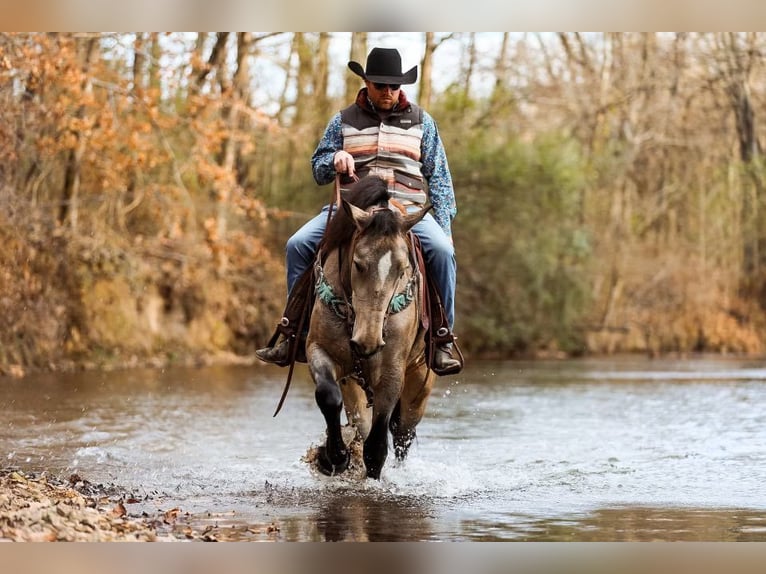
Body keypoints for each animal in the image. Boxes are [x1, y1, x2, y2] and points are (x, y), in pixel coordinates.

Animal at [308, 177, 438, 482]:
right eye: (358, 263)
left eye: (402, 268)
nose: (367, 341)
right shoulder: (318, 349)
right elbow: (328, 396)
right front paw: (334, 456)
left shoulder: (392, 371)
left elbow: (377, 445)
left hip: (421, 385)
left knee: (402, 434)